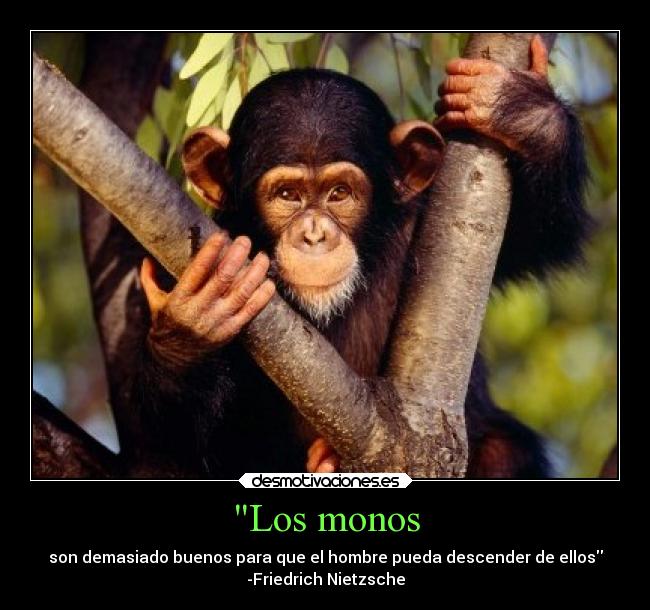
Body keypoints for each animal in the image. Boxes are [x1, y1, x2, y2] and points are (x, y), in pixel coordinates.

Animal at [134, 36, 590, 477]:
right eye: (287, 195)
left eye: (339, 193)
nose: (314, 234)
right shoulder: (189, 246)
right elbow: (173, 441)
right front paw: (194, 323)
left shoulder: (428, 219)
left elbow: (539, 233)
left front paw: (521, 110)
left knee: (503, 452)